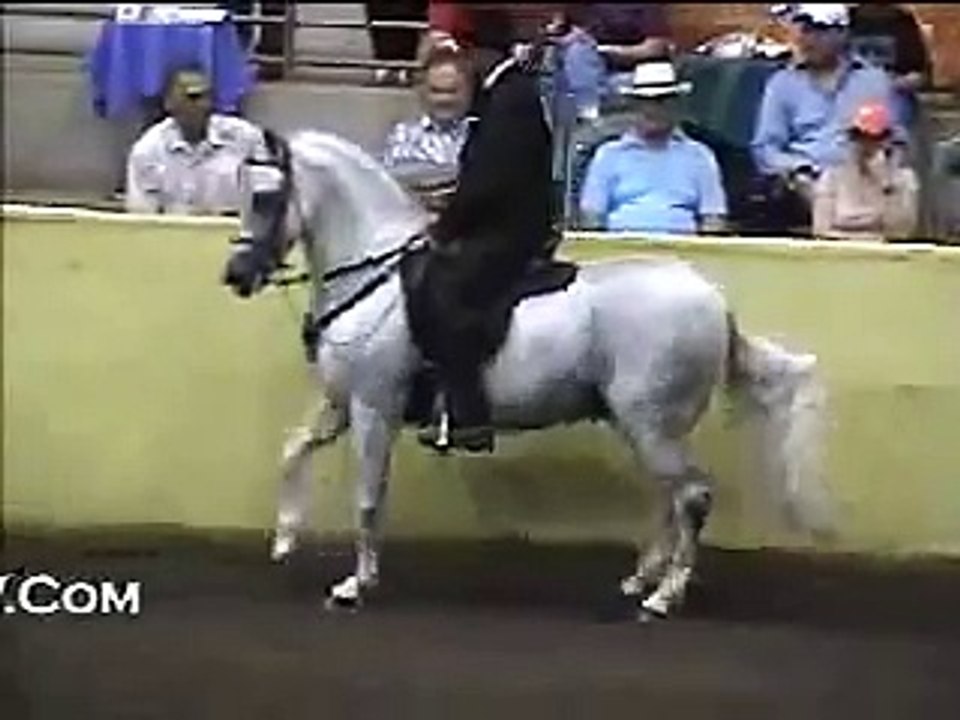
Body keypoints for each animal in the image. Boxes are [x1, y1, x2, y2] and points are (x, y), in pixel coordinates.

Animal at [222, 129, 834, 620]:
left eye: (266, 198)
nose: (236, 276)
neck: (373, 276)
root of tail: (713, 299)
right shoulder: (341, 405)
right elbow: (292, 449)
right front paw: (285, 540)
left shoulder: (375, 408)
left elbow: (369, 496)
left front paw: (355, 585)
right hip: (643, 425)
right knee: (671, 496)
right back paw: (640, 581)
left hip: (650, 423)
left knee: (692, 496)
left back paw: (663, 598)